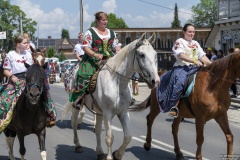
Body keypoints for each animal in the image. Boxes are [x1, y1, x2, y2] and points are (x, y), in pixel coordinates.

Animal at [62, 32, 159, 160]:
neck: (117, 82)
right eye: (142, 55)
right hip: (76, 105)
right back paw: (78, 145)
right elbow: (109, 137)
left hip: (98, 111)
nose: (155, 81)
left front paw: (117, 154)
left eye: (155, 55)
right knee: (74, 122)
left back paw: (99, 152)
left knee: (98, 130)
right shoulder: (108, 113)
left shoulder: (123, 112)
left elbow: (128, 137)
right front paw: (109, 157)